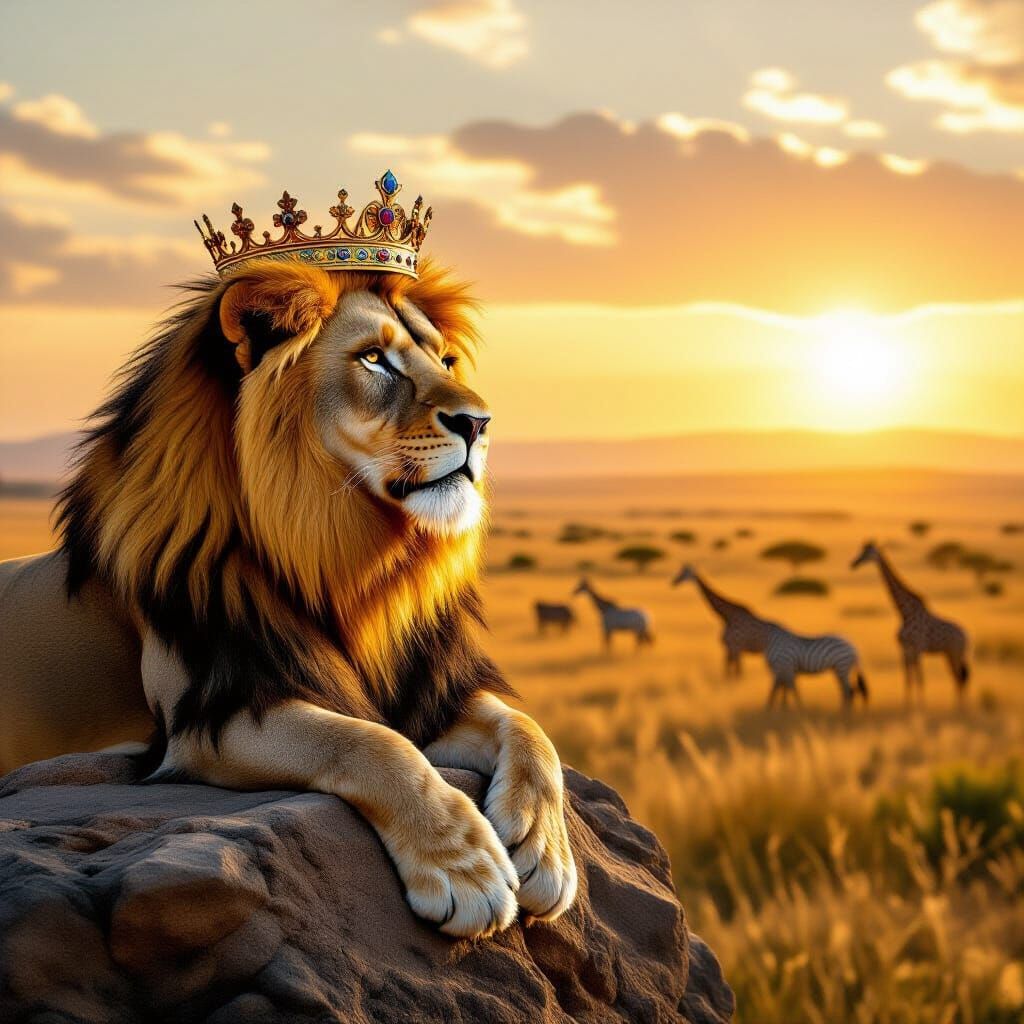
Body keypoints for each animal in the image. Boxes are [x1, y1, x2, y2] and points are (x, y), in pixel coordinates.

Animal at [0, 258, 577, 938]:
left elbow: (528, 730)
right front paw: (464, 870)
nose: (479, 424)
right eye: (374, 359)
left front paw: (544, 850)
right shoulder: (212, 719)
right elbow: (369, 743)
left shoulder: (422, 695)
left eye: (446, 360)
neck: (340, 568)